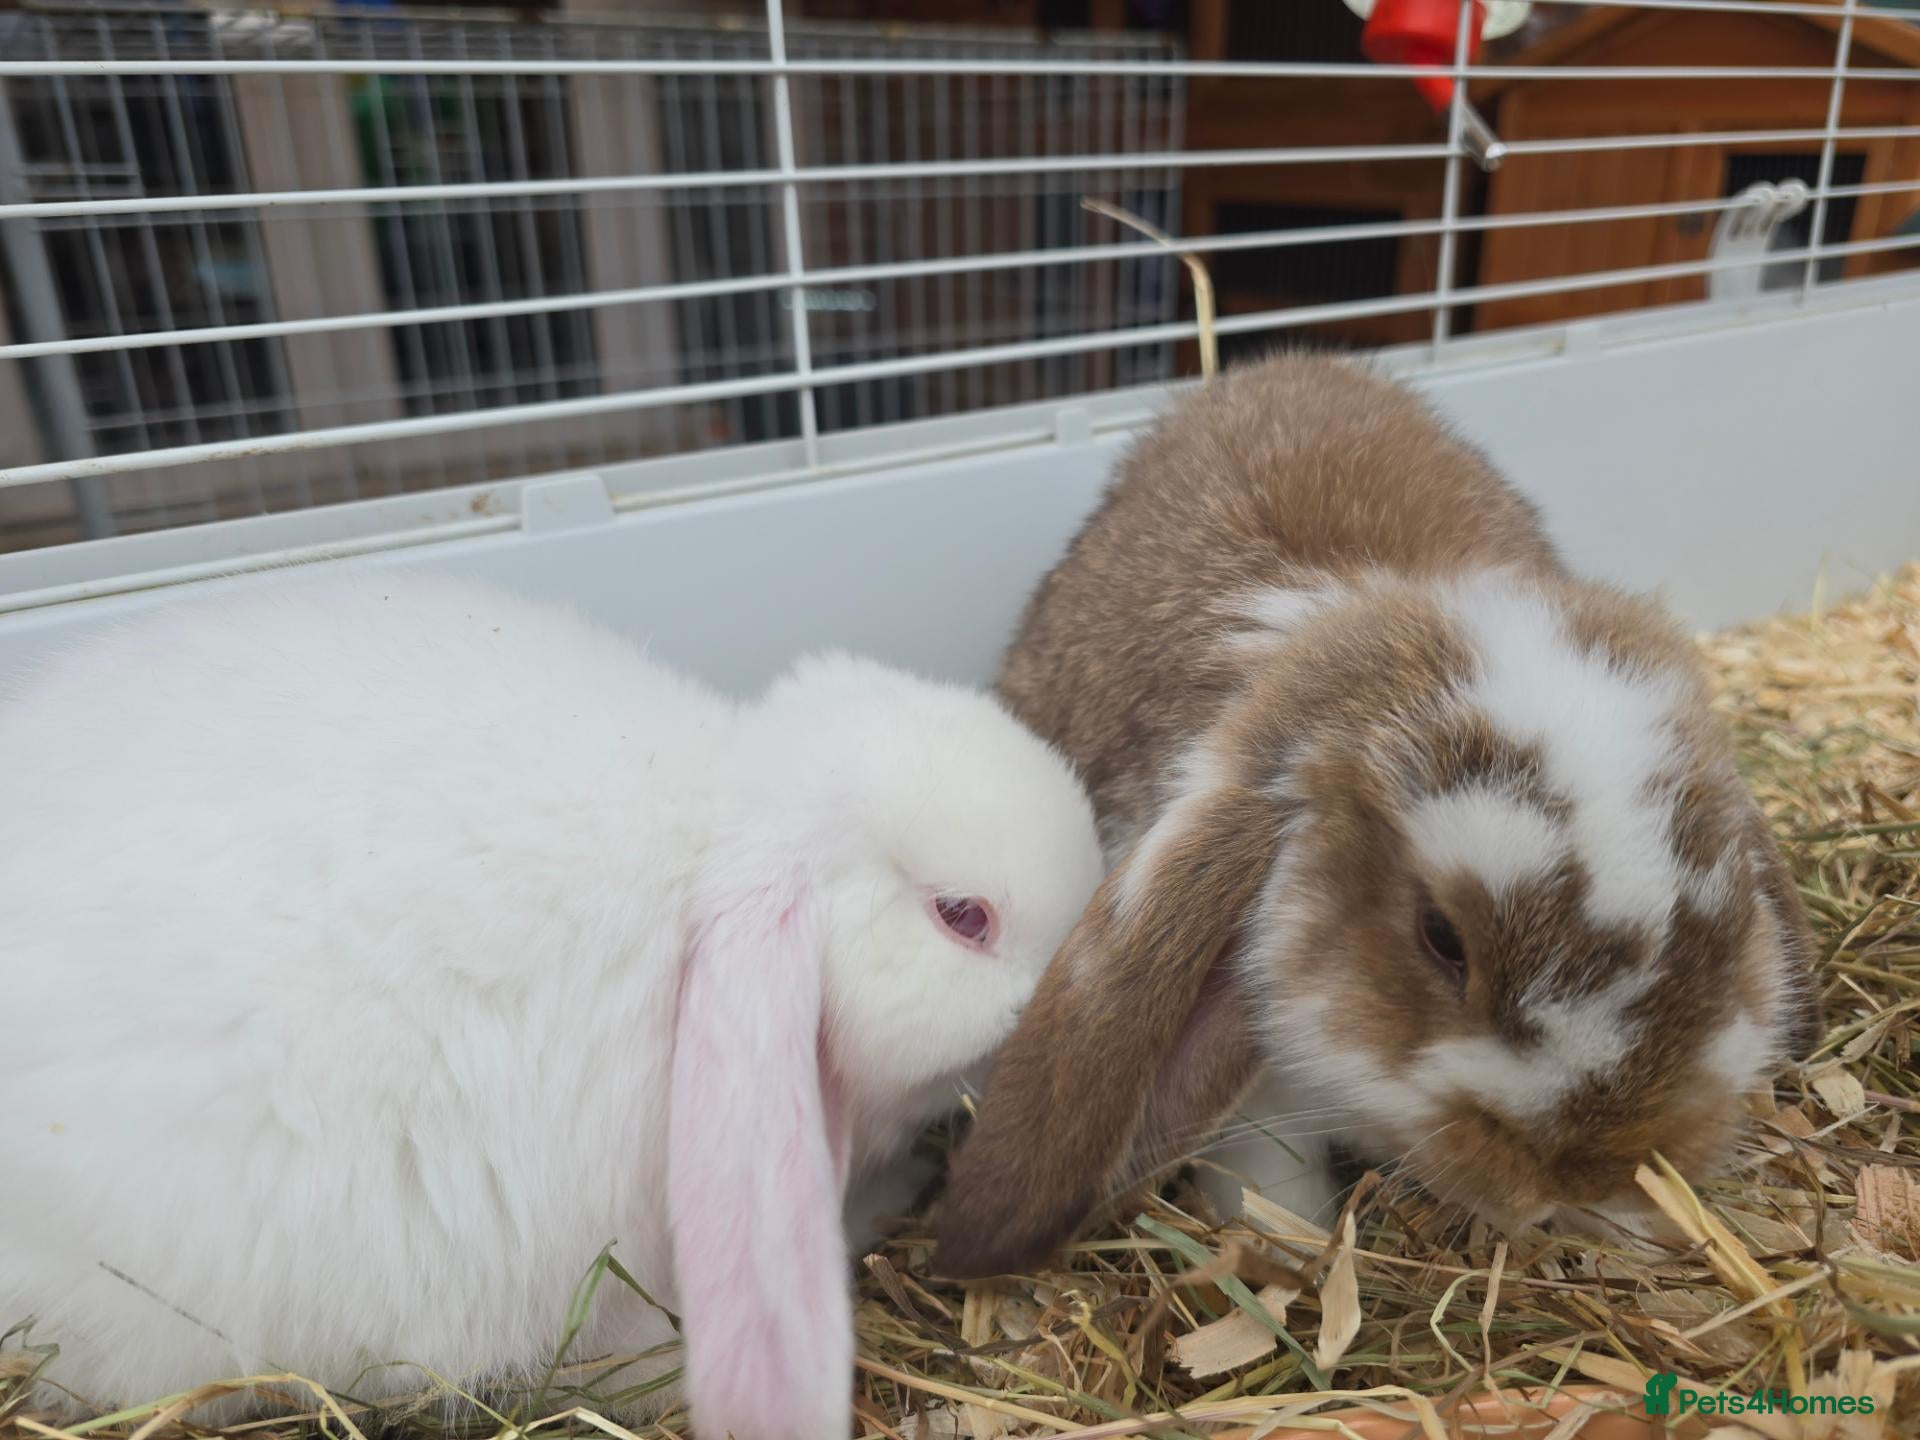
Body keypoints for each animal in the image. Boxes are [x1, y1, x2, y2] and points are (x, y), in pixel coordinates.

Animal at [932, 352, 1823, 1279]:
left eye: (1732, 921)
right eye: (1440, 937)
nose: (1580, 1166)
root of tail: (1274, 367)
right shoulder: (1260, 1106)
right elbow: (1269, 1180)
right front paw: (1294, 1255)